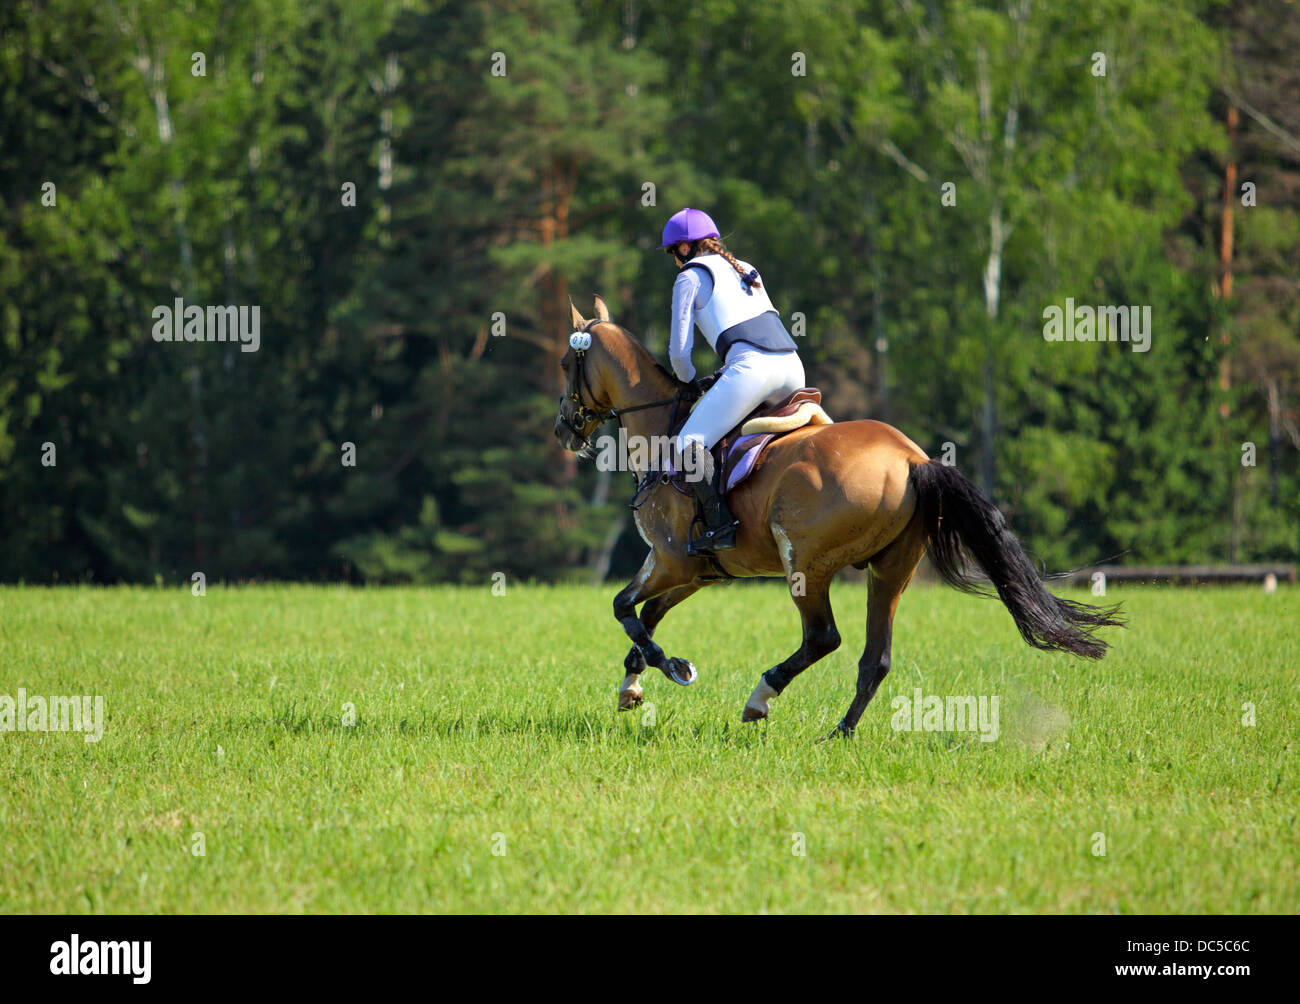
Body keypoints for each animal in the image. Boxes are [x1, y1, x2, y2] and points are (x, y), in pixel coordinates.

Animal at [553, 296, 1123, 738]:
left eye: (564, 364)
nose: (563, 429)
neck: (660, 428)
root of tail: (914, 460)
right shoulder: (696, 571)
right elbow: (644, 614)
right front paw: (632, 686)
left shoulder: (675, 560)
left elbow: (625, 608)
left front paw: (675, 668)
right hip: (891, 569)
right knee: (876, 658)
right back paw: (840, 733)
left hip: (805, 562)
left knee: (823, 638)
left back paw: (761, 698)